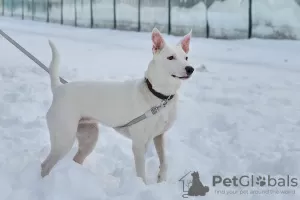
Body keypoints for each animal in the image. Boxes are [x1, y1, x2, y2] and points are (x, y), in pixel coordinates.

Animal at [41, 27, 193, 184]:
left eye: (186, 58)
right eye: (171, 57)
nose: (190, 69)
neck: (159, 96)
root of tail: (58, 88)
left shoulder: (159, 136)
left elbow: (164, 161)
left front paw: (161, 179)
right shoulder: (139, 144)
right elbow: (141, 172)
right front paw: (142, 185)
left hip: (89, 136)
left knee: (77, 159)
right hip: (63, 138)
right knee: (45, 165)